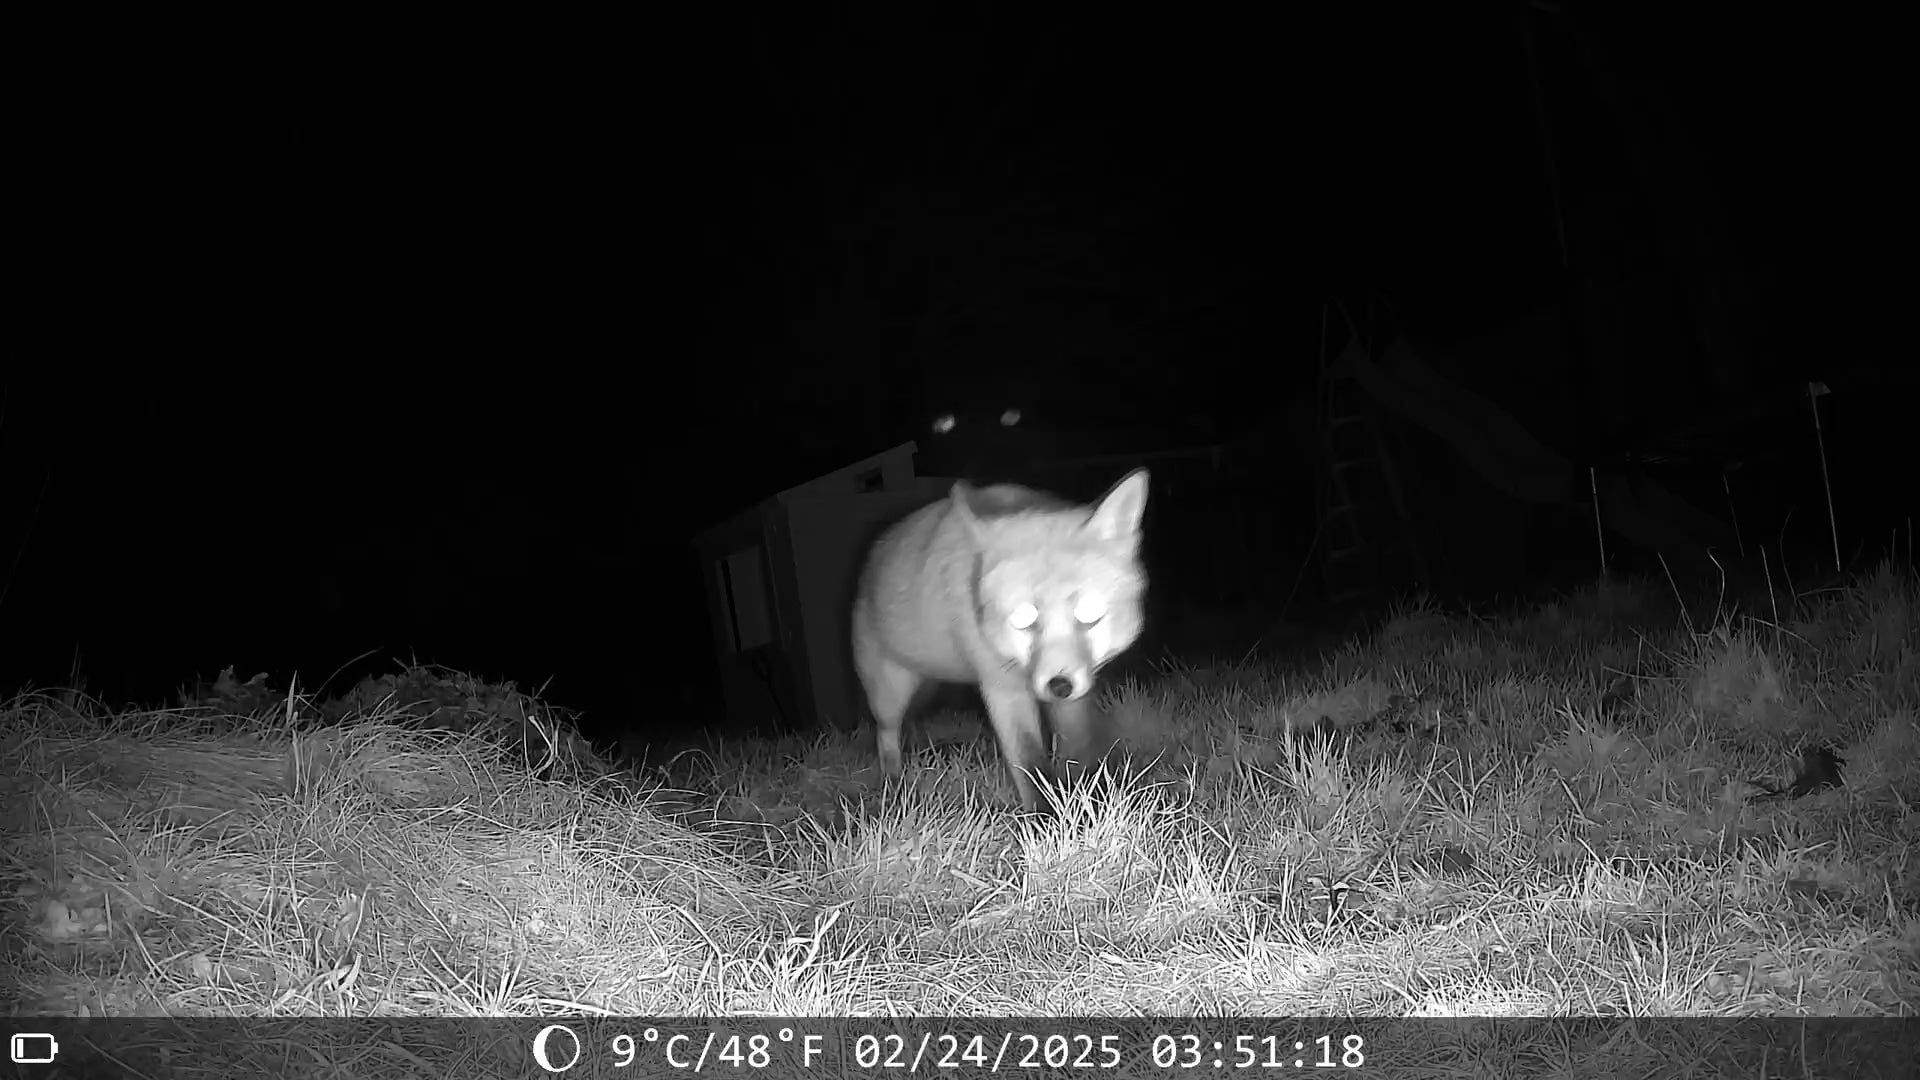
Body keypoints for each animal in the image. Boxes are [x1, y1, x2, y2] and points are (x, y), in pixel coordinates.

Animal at [851, 467, 1150, 813]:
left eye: (1088, 613)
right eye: (1023, 618)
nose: (1059, 686)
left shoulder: (1076, 695)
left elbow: (1077, 753)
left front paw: (1082, 805)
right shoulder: (1003, 687)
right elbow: (1031, 765)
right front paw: (1045, 821)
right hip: (890, 696)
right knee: (886, 735)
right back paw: (893, 786)